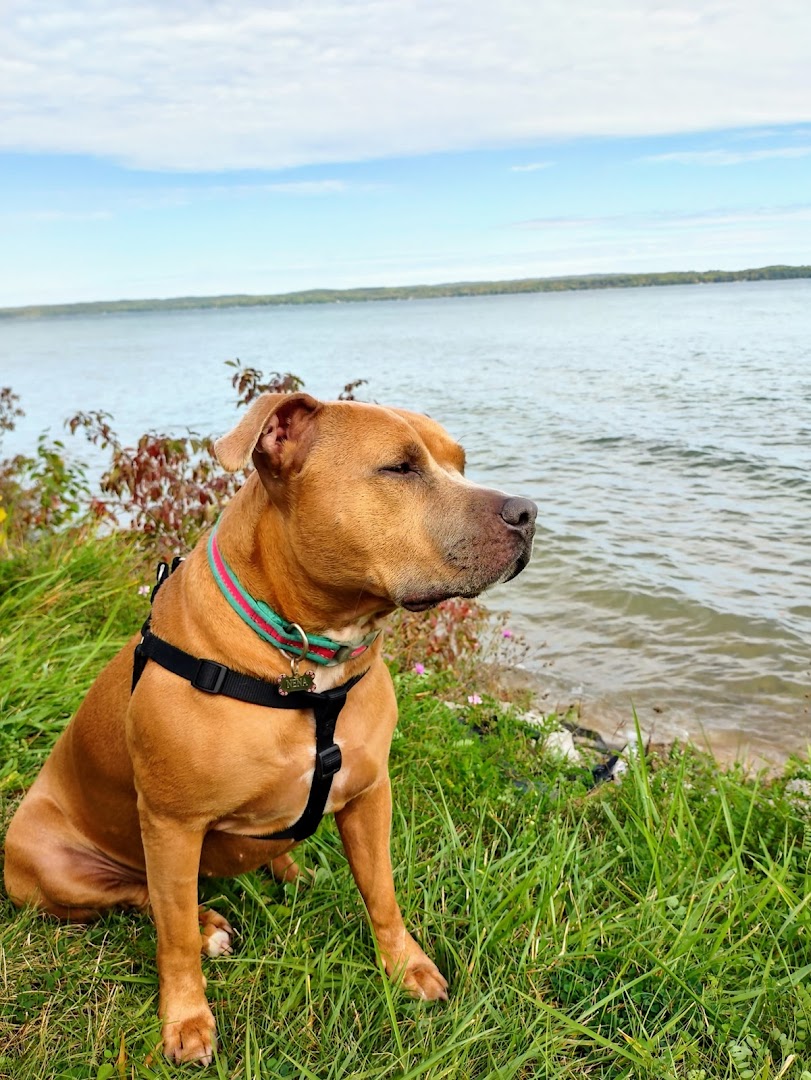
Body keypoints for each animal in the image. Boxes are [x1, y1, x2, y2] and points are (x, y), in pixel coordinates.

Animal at [7, 395, 539, 1062]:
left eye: (460, 464)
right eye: (400, 468)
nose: (528, 512)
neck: (305, 661)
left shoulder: (370, 795)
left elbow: (382, 893)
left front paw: (406, 967)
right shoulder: (172, 824)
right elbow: (172, 937)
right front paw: (185, 1020)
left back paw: (286, 868)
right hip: (44, 865)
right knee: (145, 897)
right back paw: (208, 923)